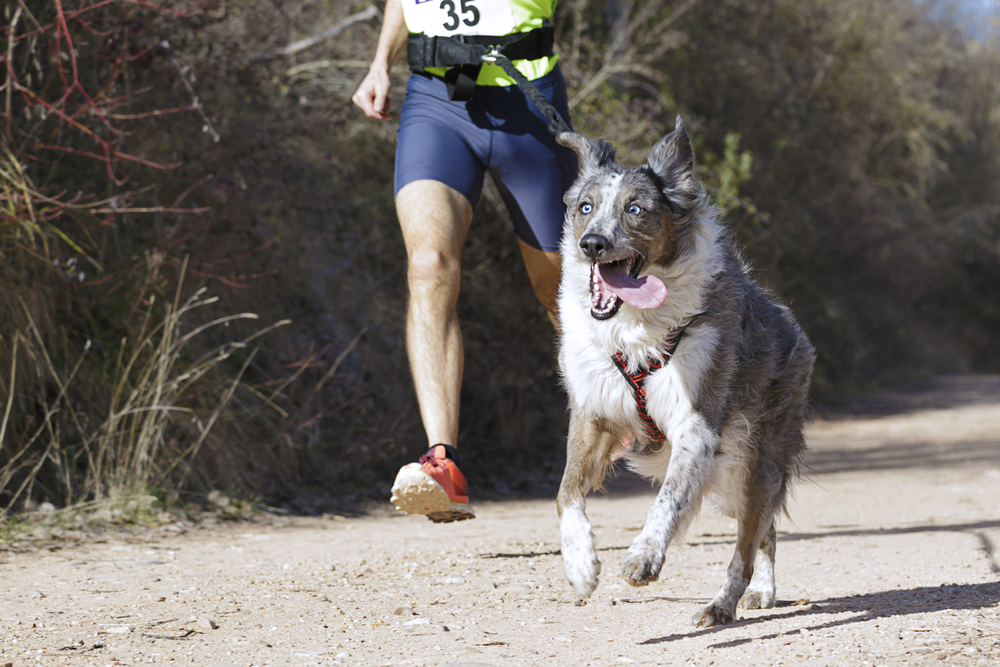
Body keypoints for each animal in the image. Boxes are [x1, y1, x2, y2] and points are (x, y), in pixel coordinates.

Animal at [552, 117, 816, 628]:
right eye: (585, 208)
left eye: (635, 209)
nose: (591, 244)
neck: (635, 329)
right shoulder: (594, 412)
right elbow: (567, 491)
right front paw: (579, 566)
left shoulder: (696, 423)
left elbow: (670, 497)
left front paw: (644, 555)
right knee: (764, 530)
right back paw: (757, 593)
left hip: (753, 459)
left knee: (748, 542)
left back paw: (724, 603)